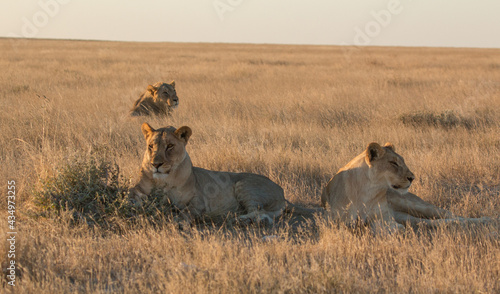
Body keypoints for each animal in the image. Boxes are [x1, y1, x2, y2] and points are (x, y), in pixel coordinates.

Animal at [129, 123, 316, 224]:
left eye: (169, 146)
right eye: (151, 146)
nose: (156, 164)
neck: (164, 180)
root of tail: (283, 193)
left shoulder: (199, 200)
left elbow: (187, 211)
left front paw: (179, 221)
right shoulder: (138, 190)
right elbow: (131, 197)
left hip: (245, 185)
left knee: (259, 211)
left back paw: (239, 220)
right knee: (267, 216)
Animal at [322, 142, 490, 234]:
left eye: (402, 161)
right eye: (393, 163)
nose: (412, 178)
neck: (368, 191)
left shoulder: (385, 218)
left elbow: (391, 228)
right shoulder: (338, 221)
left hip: (414, 205)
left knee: (451, 215)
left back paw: (485, 220)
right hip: (405, 215)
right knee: (427, 222)